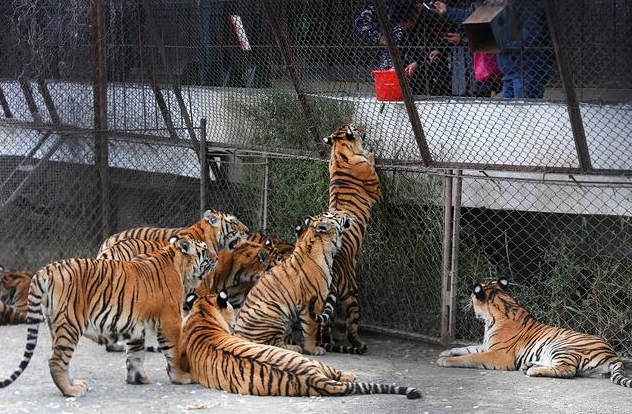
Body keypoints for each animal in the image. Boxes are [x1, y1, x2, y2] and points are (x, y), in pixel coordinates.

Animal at [0, 234, 214, 396]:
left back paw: (75, 383)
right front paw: (181, 377)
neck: (179, 265)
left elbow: (135, 353)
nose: (216, 258)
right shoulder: (170, 321)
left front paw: (138, 379)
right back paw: (71, 390)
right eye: (205, 249)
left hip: (56, 324)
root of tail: (46, 270)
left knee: (62, 358)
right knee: (56, 360)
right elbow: (174, 352)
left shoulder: (137, 324)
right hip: (70, 323)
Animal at [233, 210, 350, 356]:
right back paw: (295, 348)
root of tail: (237, 335)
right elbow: (311, 328)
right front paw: (313, 349)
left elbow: (300, 330)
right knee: (270, 344)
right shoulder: (314, 301)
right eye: (335, 214)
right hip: (274, 310)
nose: (348, 213)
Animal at [320, 125, 380, 352]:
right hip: (351, 292)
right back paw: (359, 345)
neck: (338, 151)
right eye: (355, 128)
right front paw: (371, 154)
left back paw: (329, 340)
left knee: (326, 321)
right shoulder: (377, 189)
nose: (364, 128)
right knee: (352, 324)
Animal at [436, 278, 632, 388]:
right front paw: (445, 352)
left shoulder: (499, 354)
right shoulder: (487, 345)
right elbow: (467, 348)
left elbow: (470, 357)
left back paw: (532, 370)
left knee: (567, 370)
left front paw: (445, 361)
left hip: (562, 346)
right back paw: (529, 365)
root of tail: (613, 355)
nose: (467, 301)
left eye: (471, 297)